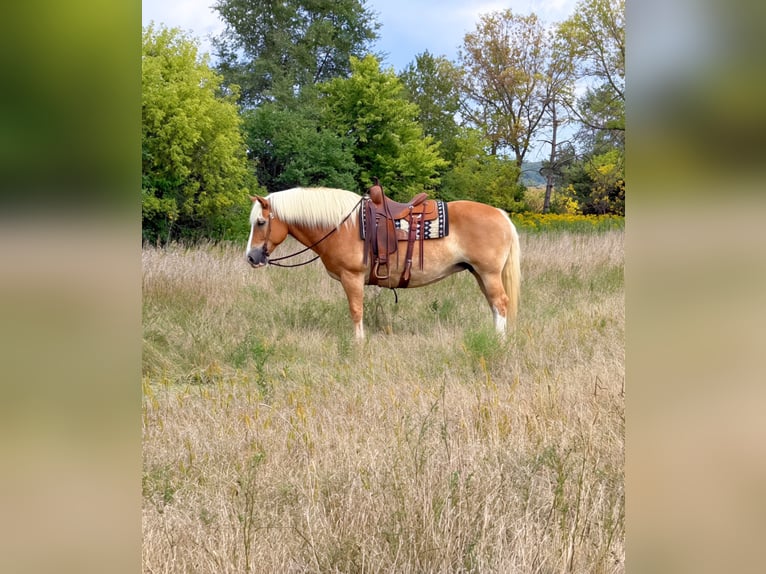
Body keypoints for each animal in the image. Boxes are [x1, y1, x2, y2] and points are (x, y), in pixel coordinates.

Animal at [245, 186, 520, 340]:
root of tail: (501, 214)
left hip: (489, 274)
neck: (342, 226)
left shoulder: (352, 277)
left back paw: (499, 342)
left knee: (500, 304)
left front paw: (358, 344)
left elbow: (356, 311)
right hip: (480, 274)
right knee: (495, 307)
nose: (251, 257)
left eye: (261, 222)